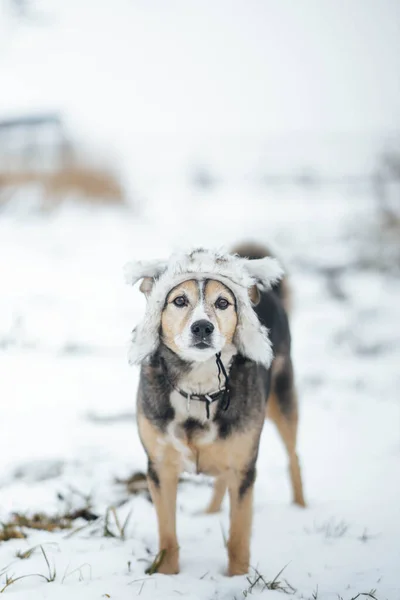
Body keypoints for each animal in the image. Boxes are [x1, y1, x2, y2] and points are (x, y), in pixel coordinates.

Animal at [126, 244, 306, 576]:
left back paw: (301, 508)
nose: (202, 327)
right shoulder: (160, 467)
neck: (199, 389)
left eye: (222, 302)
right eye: (179, 300)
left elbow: (239, 536)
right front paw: (167, 574)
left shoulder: (244, 468)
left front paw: (237, 577)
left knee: (293, 457)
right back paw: (209, 511)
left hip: (282, 399)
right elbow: (167, 533)